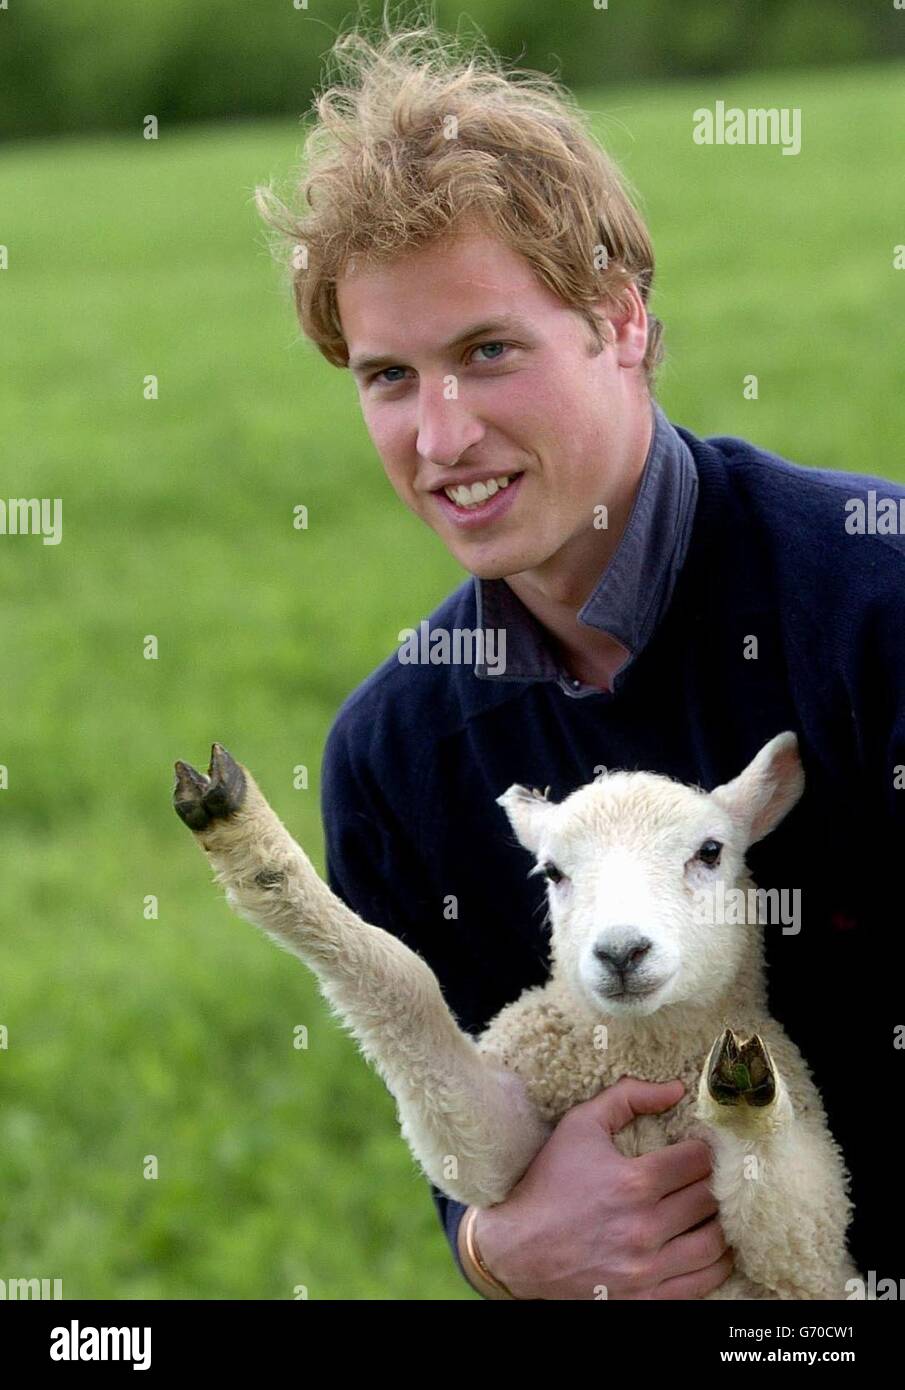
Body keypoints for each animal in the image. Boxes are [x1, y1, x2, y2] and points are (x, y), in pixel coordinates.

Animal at [173, 733, 861, 1295]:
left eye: (711, 851)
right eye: (552, 871)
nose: (621, 952)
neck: (646, 1049)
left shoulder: (810, 1257)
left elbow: (791, 1220)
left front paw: (743, 1086)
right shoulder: (511, 1132)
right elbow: (407, 988)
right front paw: (247, 839)